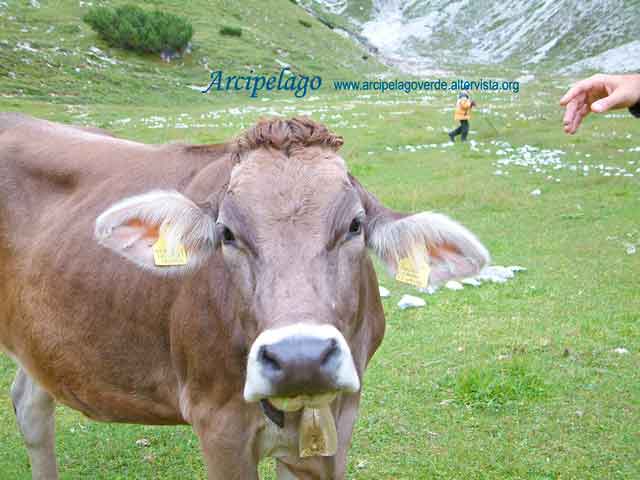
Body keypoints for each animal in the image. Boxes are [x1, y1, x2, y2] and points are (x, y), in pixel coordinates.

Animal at [0, 113, 490, 480]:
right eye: (227, 234)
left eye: (354, 225)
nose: (300, 357)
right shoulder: (219, 426)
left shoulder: (338, 424)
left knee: (31, 404)